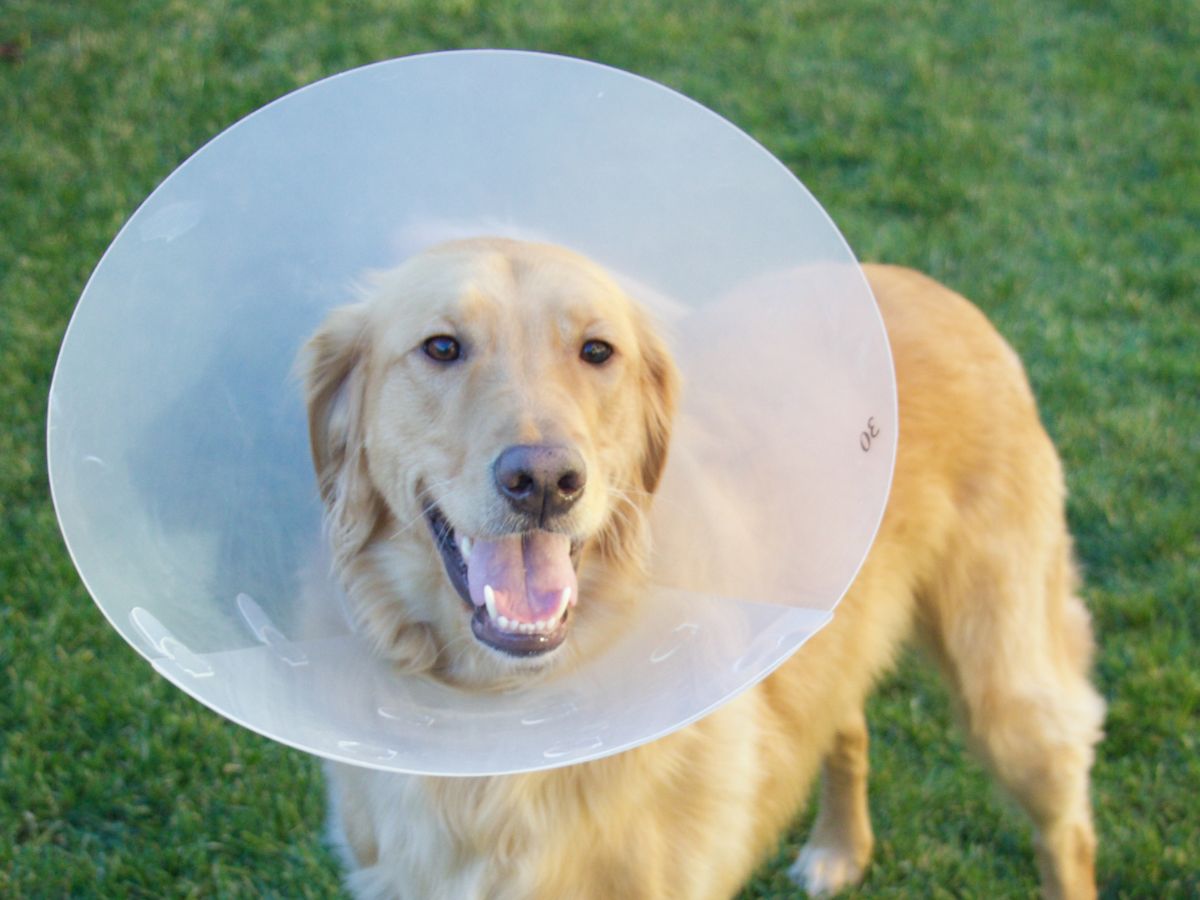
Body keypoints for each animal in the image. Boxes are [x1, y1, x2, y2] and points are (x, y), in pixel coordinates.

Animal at [302, 236, 1104, 897]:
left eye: (597, 351)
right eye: (441, 347)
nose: (546, 482)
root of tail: (934, 286)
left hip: (1006, 691)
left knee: (1067, 829)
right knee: (846, 724)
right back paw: (839, 850)